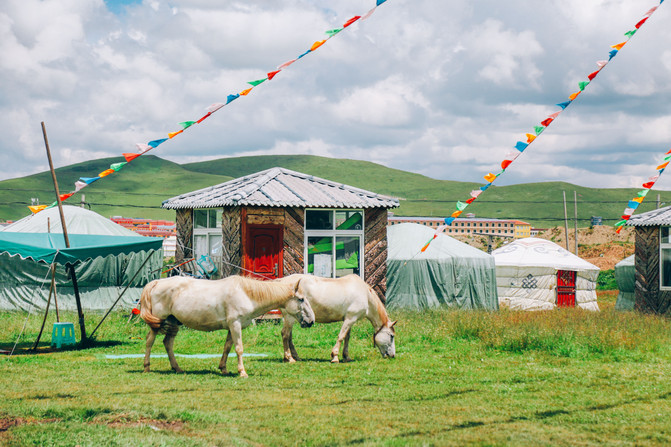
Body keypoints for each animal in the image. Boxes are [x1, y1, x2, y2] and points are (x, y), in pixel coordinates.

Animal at [140, 276, 318, 378]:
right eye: (301, 299)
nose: (311, 321)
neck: (246, 293)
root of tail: (157, 282)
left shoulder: (231, 328)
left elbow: (227, 347)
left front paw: (223, 368)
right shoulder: (235, 325)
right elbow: (239, 349)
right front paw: (242, 372)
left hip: (174, 322)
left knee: (168, 343)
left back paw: (177, 368)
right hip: (158, 322)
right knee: (149, 341)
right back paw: (146, 367)